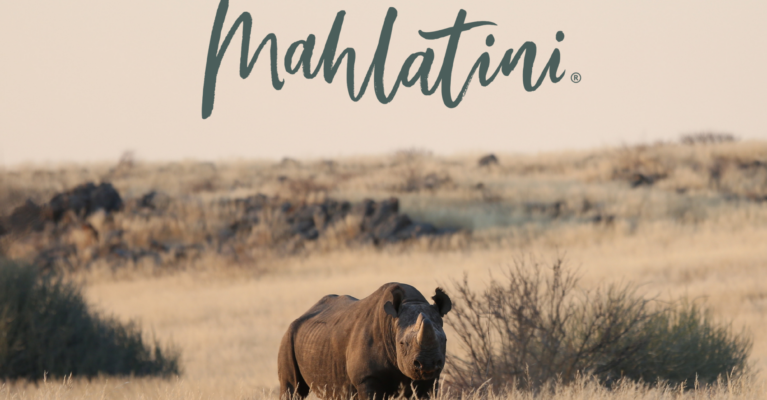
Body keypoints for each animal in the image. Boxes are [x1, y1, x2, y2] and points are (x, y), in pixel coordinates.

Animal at [278, 283, 452, 400]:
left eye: (444, 340)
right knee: (291, 388)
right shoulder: (367, 378)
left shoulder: (429, 380)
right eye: (402, 343)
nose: (427, 364)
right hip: (288, 336)